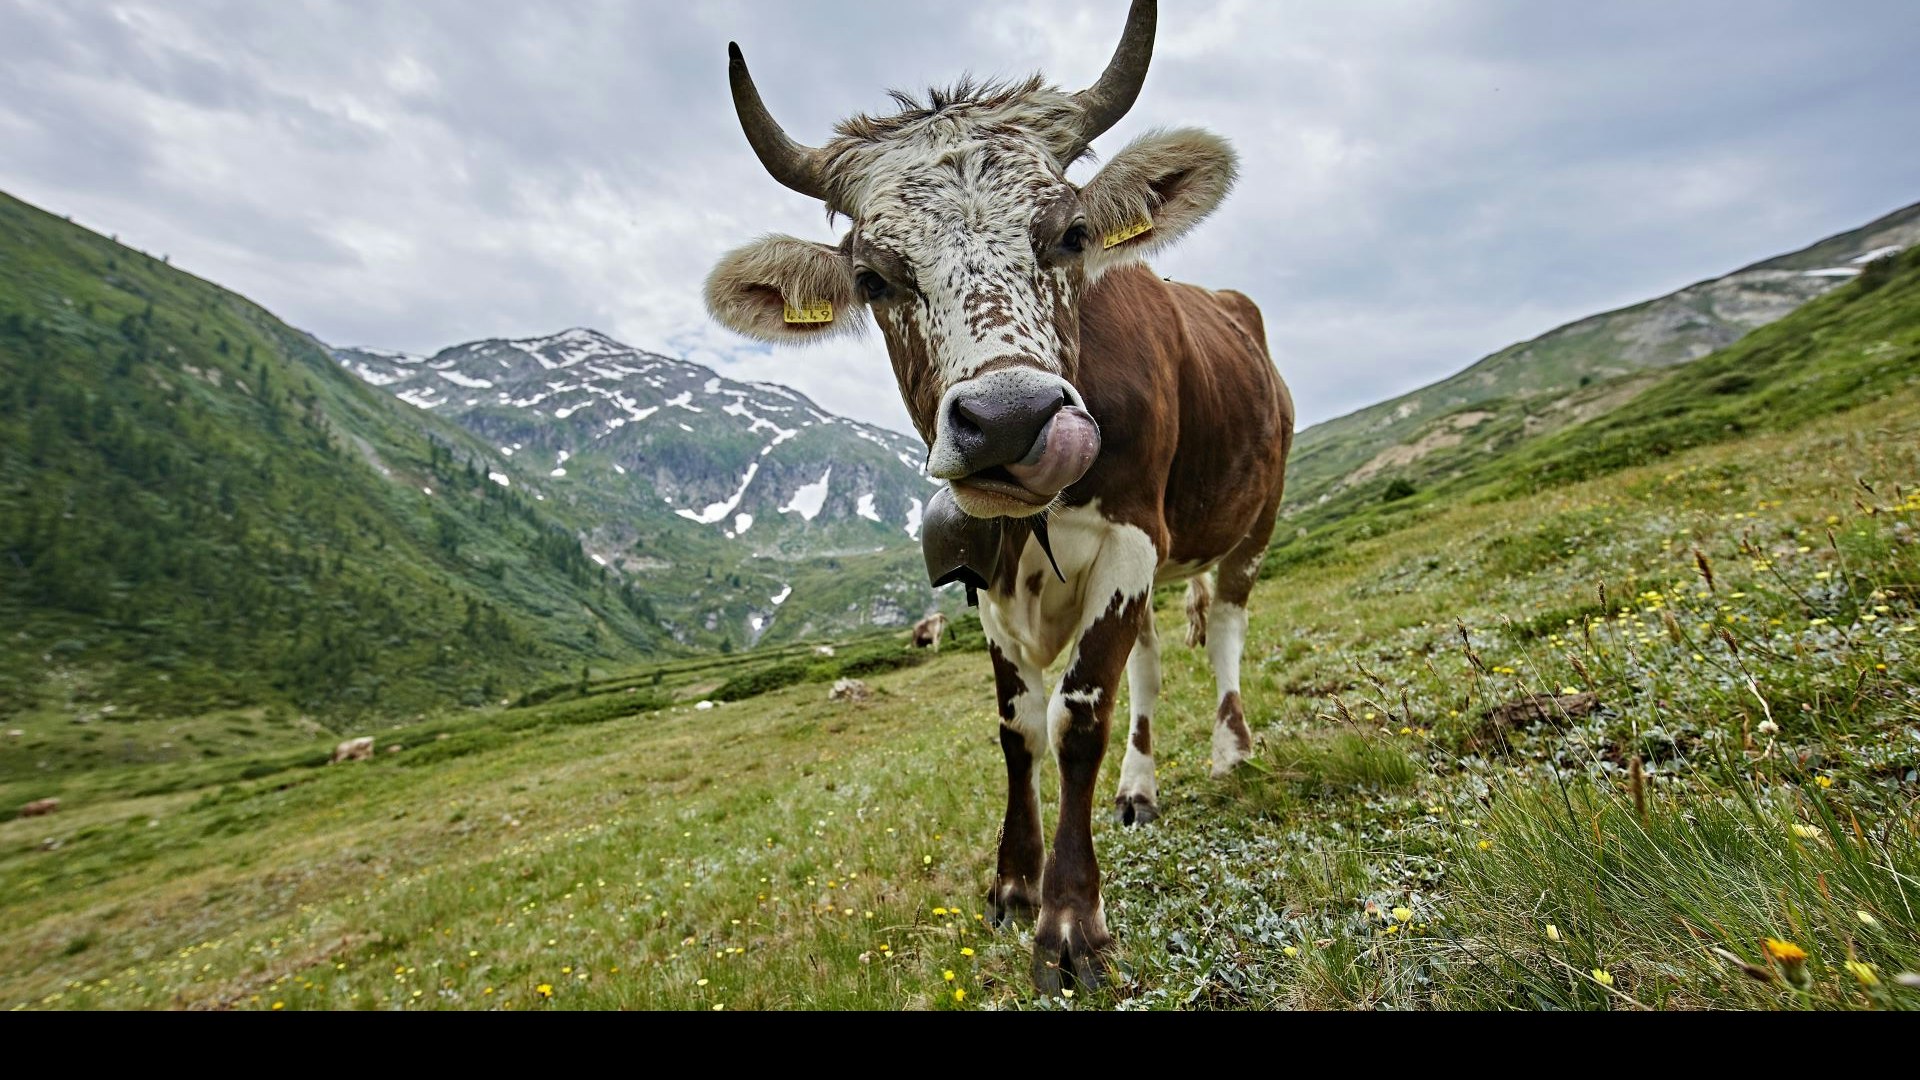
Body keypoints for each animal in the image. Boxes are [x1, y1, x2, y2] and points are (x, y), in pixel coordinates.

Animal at [704, 0, 1292, 992]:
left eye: (1072, 234)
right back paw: (1139, 790)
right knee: (1151, 661)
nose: (1012, 422)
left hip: (1251, 524)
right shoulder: (983, 572)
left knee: (1224, 631)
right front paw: (1014, 885)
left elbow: (1077, 718)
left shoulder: (1132, 536)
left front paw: (1071, 921)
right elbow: (1018, 725)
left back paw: (1230, 751)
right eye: (874, 277)